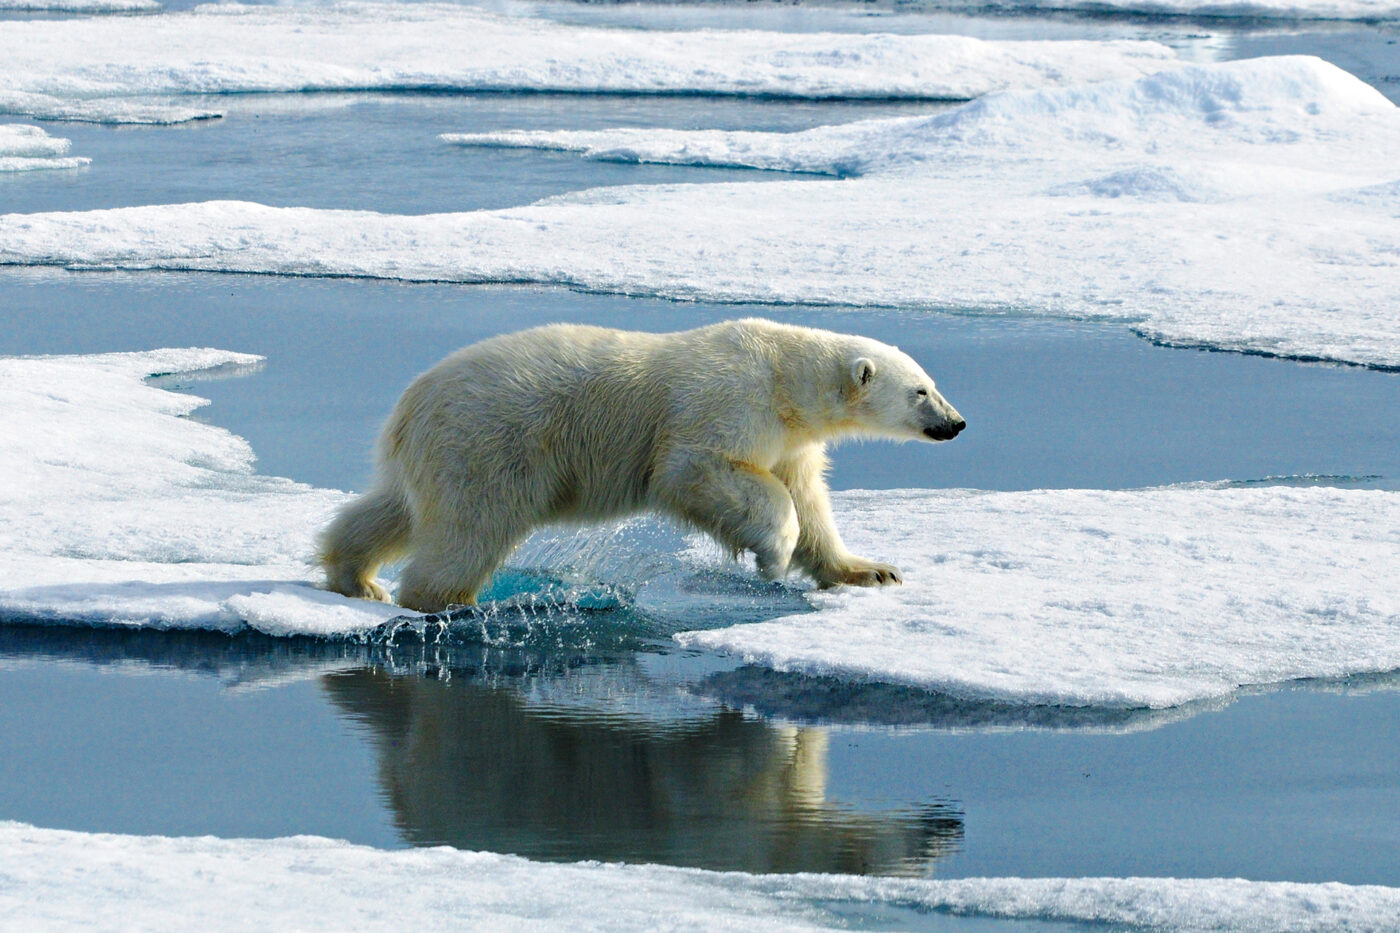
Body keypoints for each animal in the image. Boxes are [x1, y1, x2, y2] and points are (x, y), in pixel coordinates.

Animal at [318, 318, 965, 613]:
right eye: (921, 392)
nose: (957, 423)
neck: (784, 375)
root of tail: (410, 405)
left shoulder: (792, 440)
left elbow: (809, 500)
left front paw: (871, 570)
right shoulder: (726, 403)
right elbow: (695, 470)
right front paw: (772, 557)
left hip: (439, 454)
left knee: (394, 510)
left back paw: (357, 577)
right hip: (490, 444)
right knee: (469, 529)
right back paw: (446, 602)